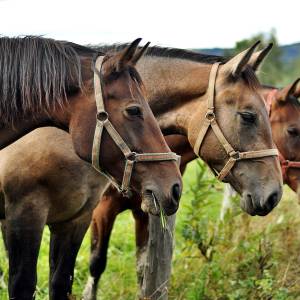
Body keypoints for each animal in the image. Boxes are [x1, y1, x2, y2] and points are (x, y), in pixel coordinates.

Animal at [0, 37, 183, 300]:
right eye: (133, 110)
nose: (175, 188)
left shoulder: (75, 220)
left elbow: (61, 283)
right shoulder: (24, 215)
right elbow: (23, 286)